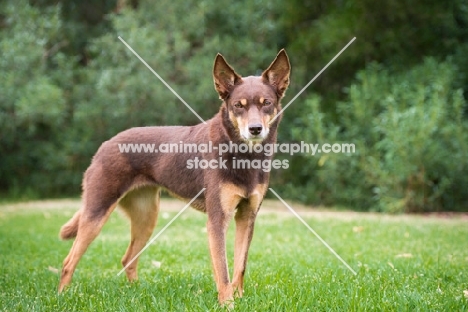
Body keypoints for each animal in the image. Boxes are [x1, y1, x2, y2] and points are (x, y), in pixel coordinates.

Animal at [58, 49, 290, 304]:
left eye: (266, 103)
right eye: (239, 105)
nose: (255, 129)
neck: (244, 155)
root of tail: (105, 145)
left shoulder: (247, 216)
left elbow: (240, 267)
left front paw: (239, 299)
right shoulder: (217, 220)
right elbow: (223, 271)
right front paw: (228, 304)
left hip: (147, 216)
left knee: (128, 258)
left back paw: (136, 293)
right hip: (97, 212)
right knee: (68, 262)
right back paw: (62, 297)